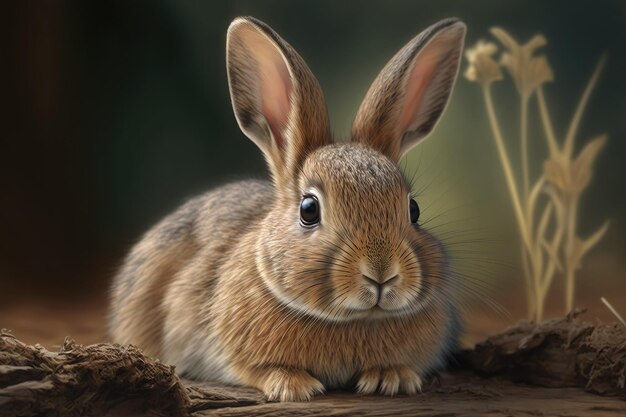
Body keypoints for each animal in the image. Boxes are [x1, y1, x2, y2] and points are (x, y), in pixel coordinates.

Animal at [109, 15, 466, 400]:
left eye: (413, 210)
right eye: (309, 209)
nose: (382, 273)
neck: (354, 319)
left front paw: (392, 377)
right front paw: (292, 385)